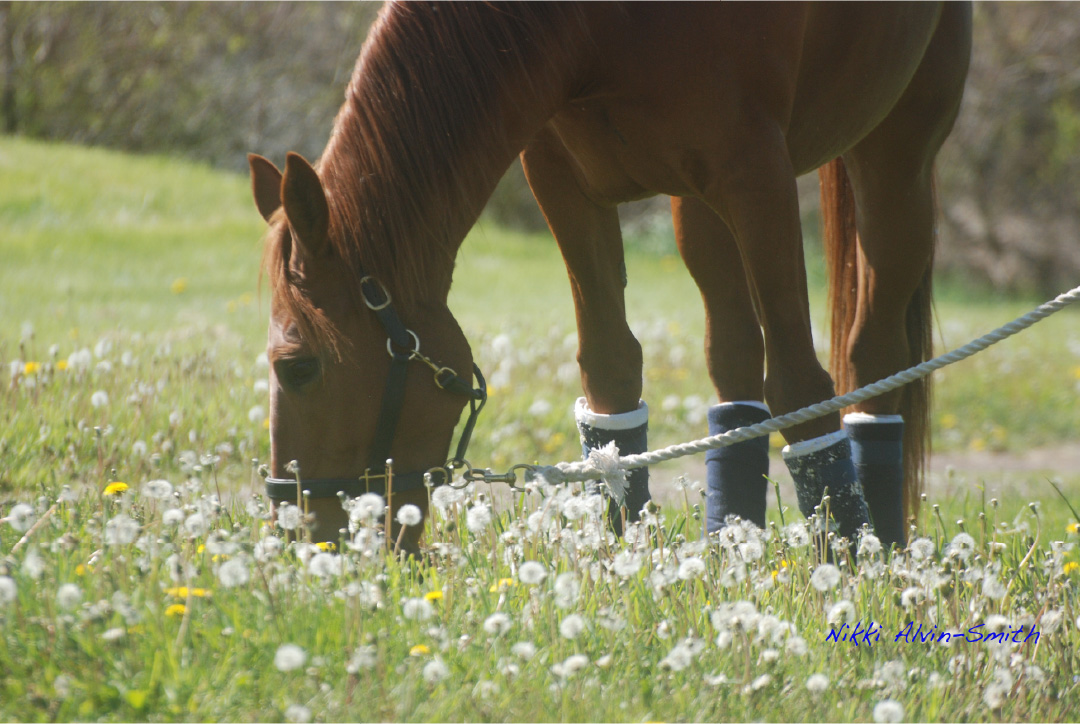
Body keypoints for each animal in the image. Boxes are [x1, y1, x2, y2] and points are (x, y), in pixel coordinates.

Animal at [250, 2, 972, 553]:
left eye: (298, 368)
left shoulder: (757, 173)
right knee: (735, 363)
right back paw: (729, 546)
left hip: (895, 164)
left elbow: (801, 385)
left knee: (871, 357)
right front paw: (625, 551)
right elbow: (611, 373)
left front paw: (848, 568)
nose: (298, 533)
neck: (601, 27)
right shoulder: (562, 181)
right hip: (695, 208)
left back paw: (883, 547)